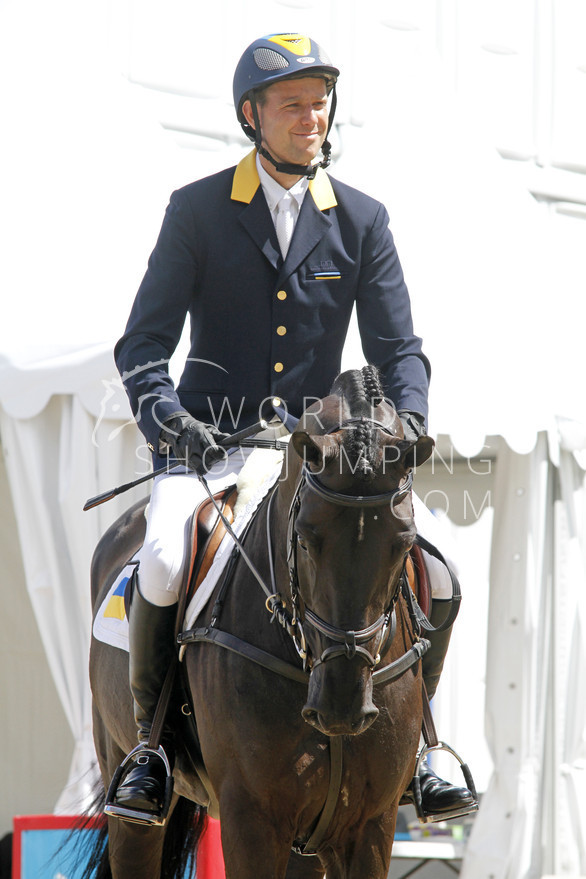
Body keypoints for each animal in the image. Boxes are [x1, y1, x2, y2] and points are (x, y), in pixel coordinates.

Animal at [88, 368, 434, 876]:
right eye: (306, 539)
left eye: (405, 543)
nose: (342, 707)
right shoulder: (252, 818)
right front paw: (195, 437)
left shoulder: (370, 824)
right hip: (126, 789)